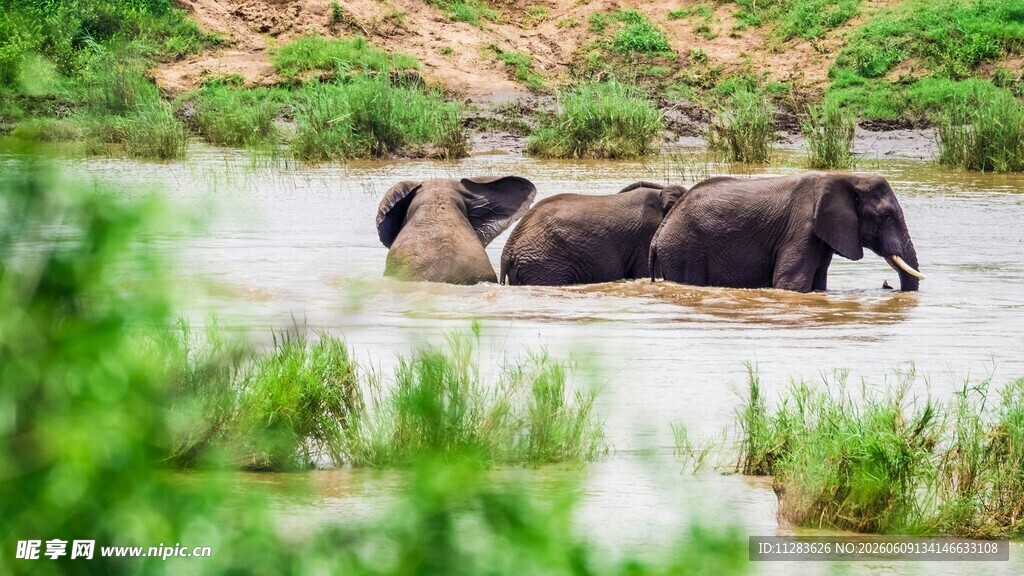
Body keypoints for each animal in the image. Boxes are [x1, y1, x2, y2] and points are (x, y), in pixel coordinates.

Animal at [649, 173, 924, 292]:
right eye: (886, 216)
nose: (888, 288)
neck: (848, 177)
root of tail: (659, 233)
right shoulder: (801, 229)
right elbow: (790, 283)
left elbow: (817, 283)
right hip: (684, 249)